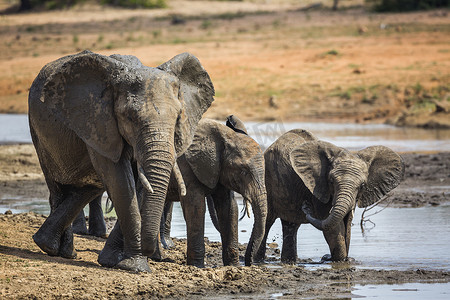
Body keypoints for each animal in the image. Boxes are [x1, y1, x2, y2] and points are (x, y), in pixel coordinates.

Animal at [29, 49, 215, 272]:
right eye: (130, 117)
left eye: (178, 117)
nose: (153, 252)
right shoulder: (99, 122)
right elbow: (122, 183)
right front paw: (136, 266)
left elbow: (140, 186)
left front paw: (114, 261)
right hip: (39, 133)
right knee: (58, 186)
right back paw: (53, 249)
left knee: (87, 188)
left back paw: (62, 250)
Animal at [161, 117, 268, 268]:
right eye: (243, 171)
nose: (249, 263)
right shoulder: (185, 168)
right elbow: (196, 207)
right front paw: (197, 266)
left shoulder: (220, 170)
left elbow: (229, 207)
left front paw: (233, 266)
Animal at [255, 128, 406, 262]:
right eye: (331, 181)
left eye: (362, 186)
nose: (306, 207)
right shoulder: (318, 188)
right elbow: (332, 226)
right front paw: (340, 260)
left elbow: (347, 224)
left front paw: (347, 260)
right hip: (267, 181)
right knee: (267, 221)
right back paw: (259, 260)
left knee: (291, 225)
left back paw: (288, 261)